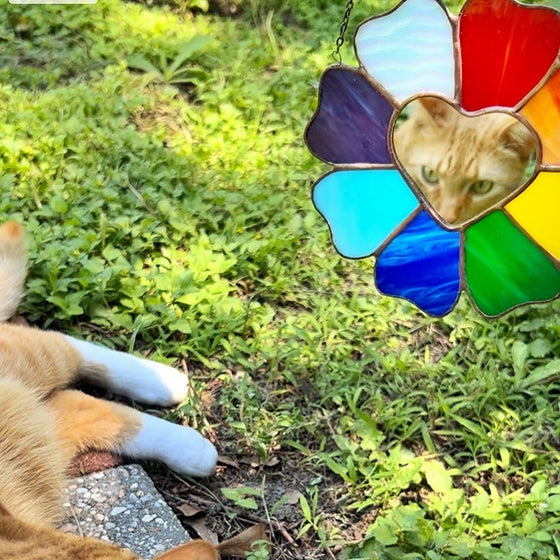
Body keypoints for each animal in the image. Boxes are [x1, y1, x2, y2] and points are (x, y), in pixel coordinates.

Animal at [0, 221, 220, 556]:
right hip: (32, 426)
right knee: (81, 404)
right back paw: (189, 444)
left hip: (26, 366)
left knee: (65, 344)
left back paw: (166, 382)